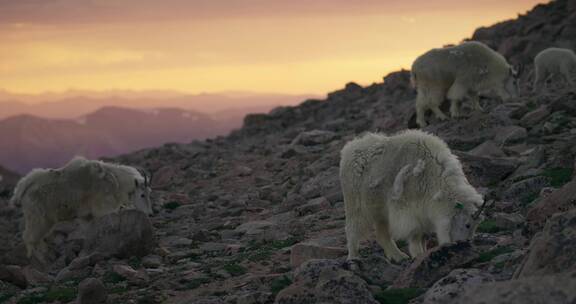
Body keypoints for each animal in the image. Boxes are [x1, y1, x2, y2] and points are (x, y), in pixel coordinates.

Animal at [13, 157, 153, 258]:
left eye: (149, 192)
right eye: (142, 194)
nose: (150, 214)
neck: (116, 182)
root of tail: (22, 187)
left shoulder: (87, 216)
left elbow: (89, 232)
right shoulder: (103, 209)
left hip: (46, 220)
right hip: (37, 217)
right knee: (29, 237)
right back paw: (37, 258)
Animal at [342, 129, 486, 262]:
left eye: (476, 226)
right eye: (467, 224)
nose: (464, 244)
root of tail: (348, 149)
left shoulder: (425, 210)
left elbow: (423, 235)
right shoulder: (408, 208)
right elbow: (415, 232)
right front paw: (418, 254)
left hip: (380, 210)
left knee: (382, 233)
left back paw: (398, 256)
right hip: (355, 203)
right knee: (352, 228)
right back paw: (353, 257)